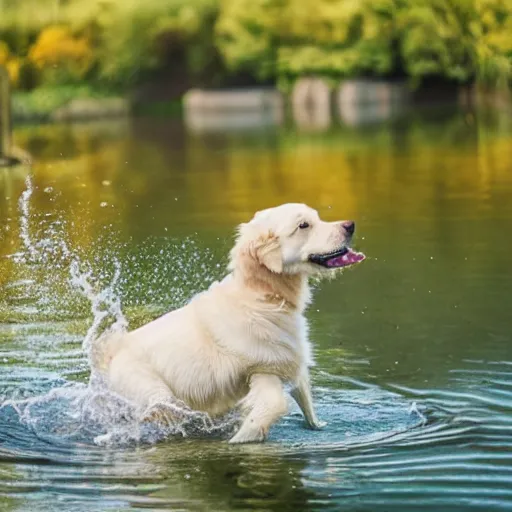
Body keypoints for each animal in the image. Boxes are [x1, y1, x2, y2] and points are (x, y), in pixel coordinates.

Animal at [94, 202, 366, 442]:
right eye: (303, 225)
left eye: (316, 217)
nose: (350, 225)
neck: (263, 296)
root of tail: (113, 349)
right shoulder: (263, 368)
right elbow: (273, 406)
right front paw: (241, 439)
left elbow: (305, 399)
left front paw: (317, 426)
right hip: (158, 395)